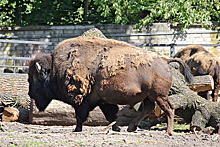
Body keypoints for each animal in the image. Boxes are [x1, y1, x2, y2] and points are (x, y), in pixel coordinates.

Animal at [27, 36, 192, 135]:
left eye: (33, 79)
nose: (30, 94)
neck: (55, 69)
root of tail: (164, 60)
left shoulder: (80, 100)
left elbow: (80, 116)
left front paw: (76, 130)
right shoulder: (104, 101)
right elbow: (111, 115)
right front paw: (116, 128)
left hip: (159, 95)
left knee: (169, 109)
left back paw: (168, 131)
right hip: (149, 96)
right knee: (148, 108)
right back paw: (131, 127)